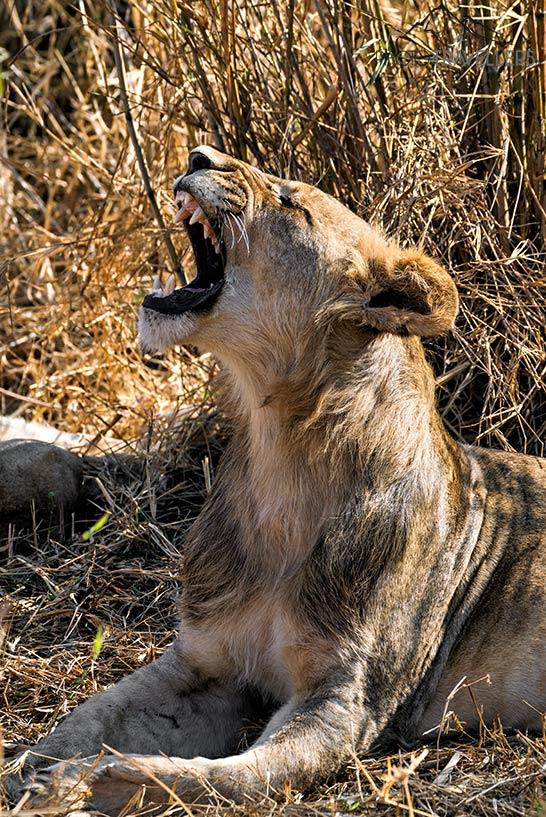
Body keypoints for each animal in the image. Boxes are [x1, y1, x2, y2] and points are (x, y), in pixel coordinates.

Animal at [6, 146, 545, 814]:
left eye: (290, 201)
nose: (198, 154)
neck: (281, 464)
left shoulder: (343, 703)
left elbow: (229, 779)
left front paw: (106, 779)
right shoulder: (202, 663)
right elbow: (87, 717)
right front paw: (34, 774)